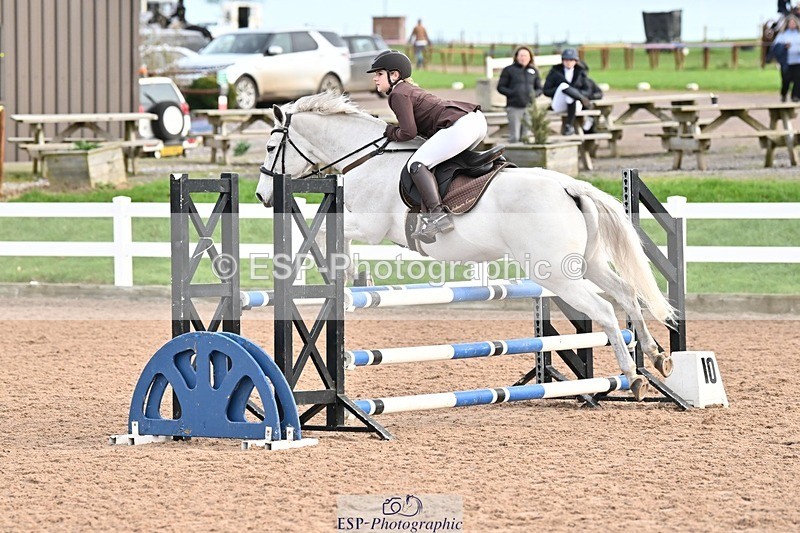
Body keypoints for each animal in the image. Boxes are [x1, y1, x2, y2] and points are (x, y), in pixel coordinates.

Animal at [256, 92, 676, 401]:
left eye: (271, 145)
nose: (261, 196)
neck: (366, 158)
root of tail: (570, 187)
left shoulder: (370, 226)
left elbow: (333, 235)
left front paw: (343, 277)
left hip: (555, 274)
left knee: (604, 309)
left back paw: (632, 376)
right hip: (586, 264)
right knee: (627, 294)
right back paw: (657, 358)